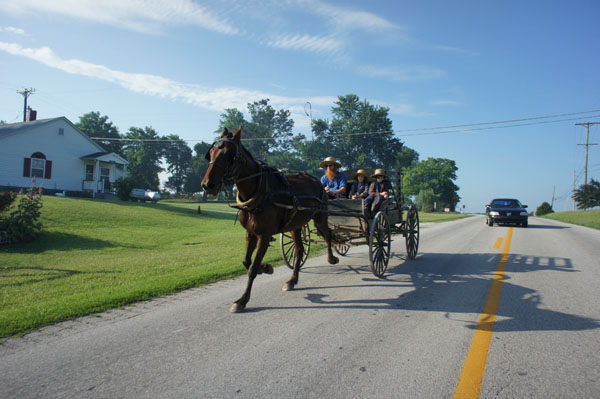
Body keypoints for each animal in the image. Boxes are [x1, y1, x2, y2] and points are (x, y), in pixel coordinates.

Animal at [203, 127, 340, 312]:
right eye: (210, 153)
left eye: (229, 154)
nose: (207, 185)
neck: (259, 191)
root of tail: (315, 180)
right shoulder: (250, 233)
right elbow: (246, 261)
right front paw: (266, 268)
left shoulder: (265, 235)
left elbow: (252, 268)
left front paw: (242, 300)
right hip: (295, 225)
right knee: (299, 250)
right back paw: (292, 280)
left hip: (320, 216)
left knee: (327, 235)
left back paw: (332, 258)